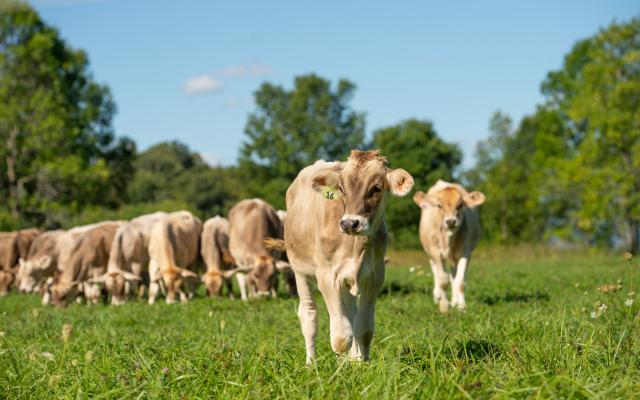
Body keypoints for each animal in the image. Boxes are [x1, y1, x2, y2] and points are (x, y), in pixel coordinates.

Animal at [283, 149, 414, 363]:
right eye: (342, 189)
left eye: (377, 188)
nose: (350, 224)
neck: (356, 247)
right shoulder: (327, 276)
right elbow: (341, 335)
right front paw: (340, 369)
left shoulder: (375, 276)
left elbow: (363, 328)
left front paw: (362, 363)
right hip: (299, 270)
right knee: (309, 315)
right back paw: (311, 363)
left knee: (351, 313)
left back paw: (353, 359)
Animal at [412, 179, 485, 312]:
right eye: (439, 205)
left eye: (460, 205)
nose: (451, 221)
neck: (448, 239)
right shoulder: (435, 253)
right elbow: (443, 280)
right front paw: (444, 306)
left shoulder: (465, 253)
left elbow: (460, 281)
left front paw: (461, 306)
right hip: (430, 253)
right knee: (436, 272)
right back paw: (437, 297)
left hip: (454, 258)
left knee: (454, 276)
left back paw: (454, 301)